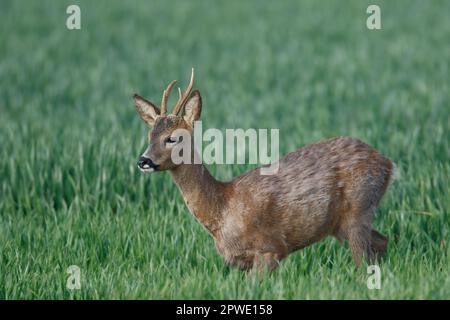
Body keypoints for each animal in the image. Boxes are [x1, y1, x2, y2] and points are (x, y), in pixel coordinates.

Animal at [132, 69, 392, 272]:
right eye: (149, 135)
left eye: (172, 137)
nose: (143, 160)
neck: (222, 208)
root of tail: (388, 164)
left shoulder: (270, 249)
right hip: (341, 224)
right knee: (381, 242)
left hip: (358, 208)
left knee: (364, 260)